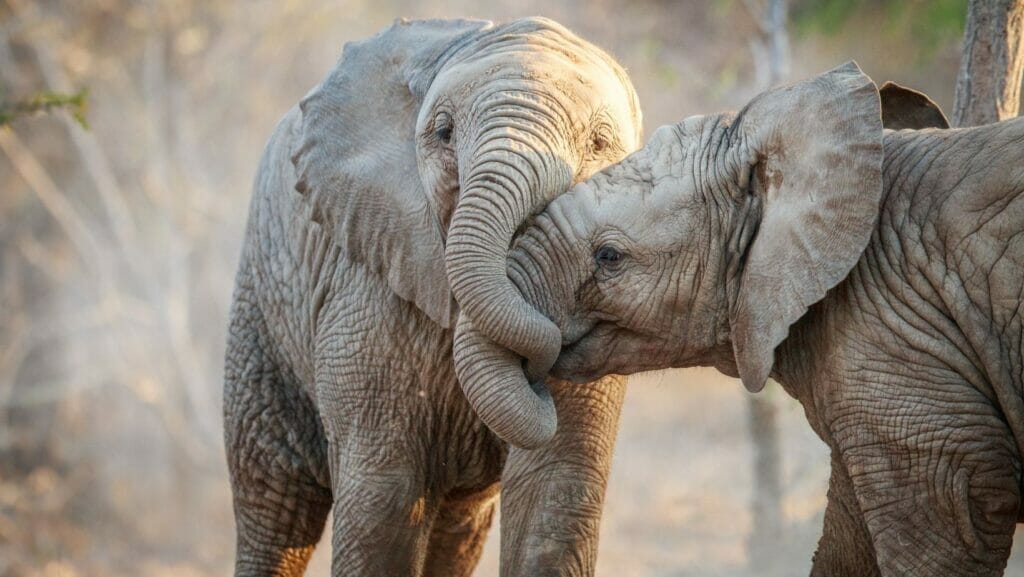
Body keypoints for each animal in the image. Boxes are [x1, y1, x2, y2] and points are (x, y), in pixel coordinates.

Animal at [224, 17, 641, 577]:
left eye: (599, 142)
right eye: (443, 132)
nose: (538, 365)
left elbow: (553, 488)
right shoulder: (366, 286)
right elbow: (384, 496)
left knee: (456, 526)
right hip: (262, 305)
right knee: (274, 503)